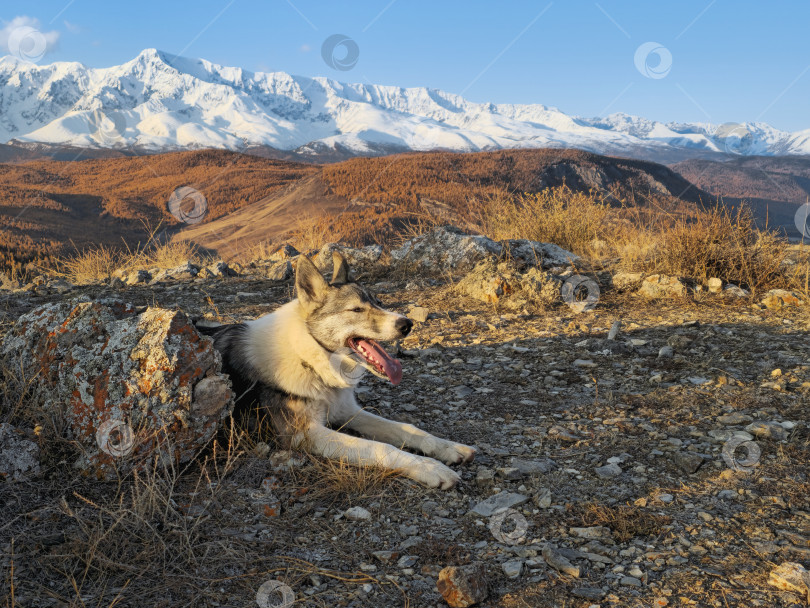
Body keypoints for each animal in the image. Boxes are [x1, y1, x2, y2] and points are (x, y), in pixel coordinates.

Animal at [196, 252, 474, 490]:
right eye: (356, 309)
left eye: (379, 303)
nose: (407, 324)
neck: (310, 357)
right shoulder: (304, 434)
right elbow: (382, 448)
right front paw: (431, 469)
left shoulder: (346, 411)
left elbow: (407, 429)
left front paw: (448, 448)